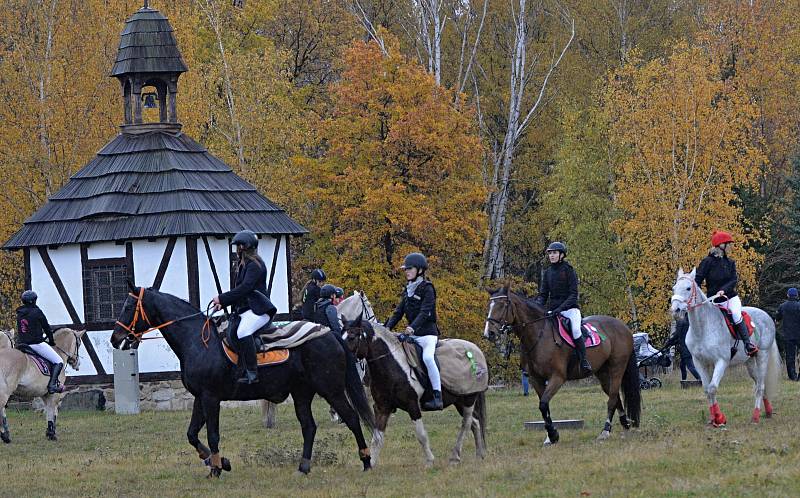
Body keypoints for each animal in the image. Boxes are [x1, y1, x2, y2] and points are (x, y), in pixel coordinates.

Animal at [109, 284, 376, 474]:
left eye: (128, 307)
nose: (115, 338)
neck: (197, 340)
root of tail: (330, 333)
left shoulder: (210, 397)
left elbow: (212, 434)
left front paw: (216, 468)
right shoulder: (200, 398)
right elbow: (192, 434)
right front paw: (218, 462)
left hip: (331, 389)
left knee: (352, 418)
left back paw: (366, 461)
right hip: (302, 393)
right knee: (309, 426)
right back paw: (303, 467)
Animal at [340, 318, 484, 468]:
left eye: (351, 337)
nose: (341, 355)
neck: (392, 365)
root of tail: (474, 348)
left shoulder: (412, 405)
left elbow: (421, 435)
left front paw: (429, 462)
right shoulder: (382, 408)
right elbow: (377, 438)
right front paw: (371, 464)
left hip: (469, 399)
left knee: (467, 423)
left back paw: (455, 457)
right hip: (459, 401)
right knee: (475, 423)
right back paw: (479, 454)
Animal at [484, 286, 640, 446]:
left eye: (503, 304)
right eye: (489, 306)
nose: (489, 333)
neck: (539, 335)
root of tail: (623, 327)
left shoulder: (557, 378)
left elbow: (543, 404)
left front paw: (553, 434)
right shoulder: (536, 379)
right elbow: (544, 407)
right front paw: (550, 436)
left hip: (617, 368)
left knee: (612, 398)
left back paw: (605, 431)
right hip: (602, 373)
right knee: (615, 397)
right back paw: (625, 424)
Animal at [672, 266, 780, 426]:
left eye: (688, 288)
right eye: (674, 288)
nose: (676, 310)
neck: (703, 328)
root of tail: (766, 316)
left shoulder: (721, 361)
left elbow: (712, 388)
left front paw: (719, 418)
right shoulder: (700, 362)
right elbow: (707, 390)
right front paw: (713, 419)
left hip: (762, 355)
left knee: (760, 386)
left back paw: (755, 416)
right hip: (749, 362)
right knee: (760, 384)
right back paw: (768, 411)